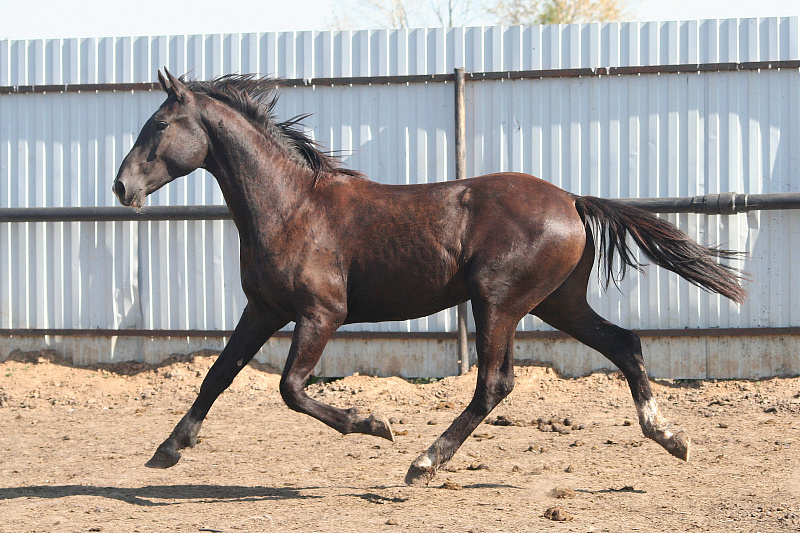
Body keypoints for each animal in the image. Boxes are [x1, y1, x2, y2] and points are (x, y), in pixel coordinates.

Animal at [113, 69, 746, 486]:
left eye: (160, 124)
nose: (122, 187)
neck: (292, 207)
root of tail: (571, 200)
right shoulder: (263, 309)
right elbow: (217, 375)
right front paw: (168, 450)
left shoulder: (321, 314)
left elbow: (291, 388)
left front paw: (374, 423)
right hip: (557, 303)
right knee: (625, 343)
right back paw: (671, 438)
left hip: (498, 303)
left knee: (495, 384)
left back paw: (422, 462)